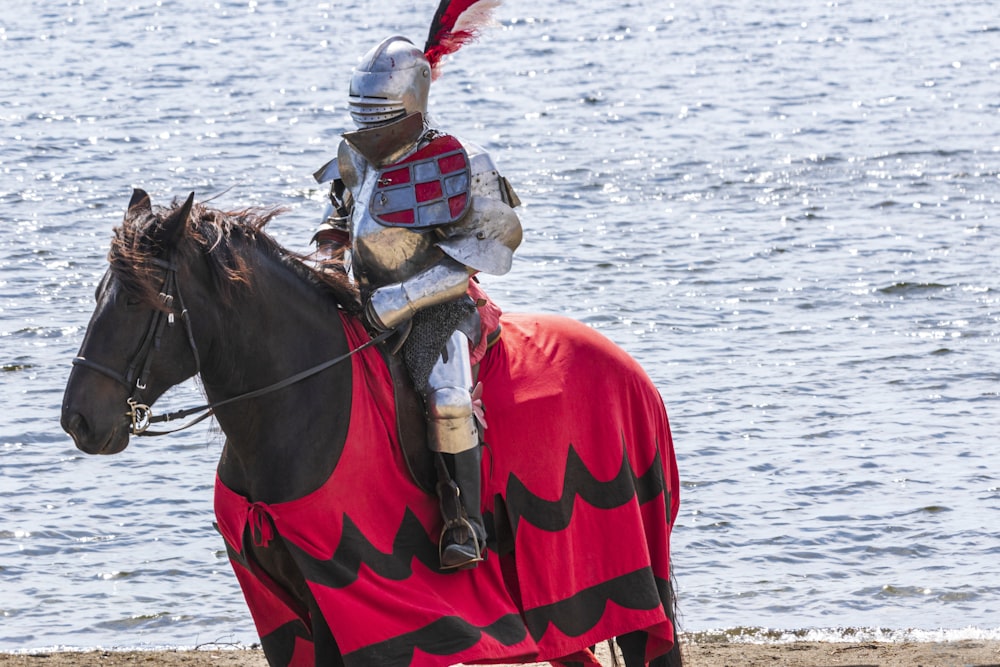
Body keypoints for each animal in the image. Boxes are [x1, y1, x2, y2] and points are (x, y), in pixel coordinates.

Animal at [62, 192, 684, 667]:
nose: (78, 420)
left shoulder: (351, 606)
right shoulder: (289, 610)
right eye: (99, 294)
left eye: (140, 301)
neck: (300, 395)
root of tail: (637, 377)